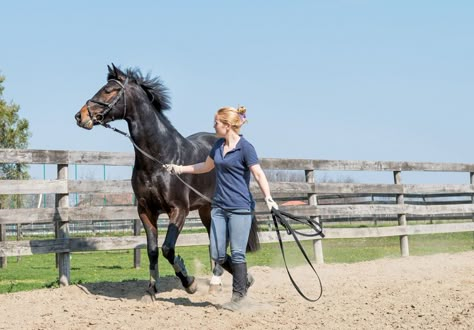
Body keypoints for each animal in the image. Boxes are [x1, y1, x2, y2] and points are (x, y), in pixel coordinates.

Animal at [74, 64, 260, 296]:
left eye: (109, 90)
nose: (80, 116)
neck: (159, 159)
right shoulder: (146, 211)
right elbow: (153, 250)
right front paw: (151, 289)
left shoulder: (178, 209)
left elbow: (167, 249)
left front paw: (189, 283)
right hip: (206, 210)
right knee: (214, 242)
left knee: (221, 243)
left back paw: (219, 281)